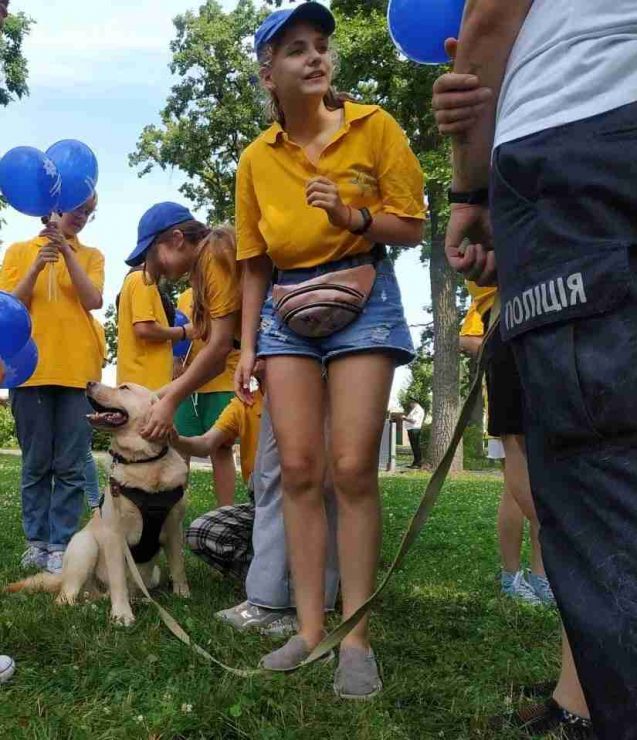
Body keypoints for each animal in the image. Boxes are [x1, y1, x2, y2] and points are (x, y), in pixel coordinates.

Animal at [8, 382, 189, 624]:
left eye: (124, 387)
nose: (89, 383)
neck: (143, 463)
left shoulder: (174, 529)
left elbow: (178, 567)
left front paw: (182, 594)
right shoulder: (114, 535)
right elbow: (118, 579)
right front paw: (121, 614)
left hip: (151, 575)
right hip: (86, 546)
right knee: (65, 598)